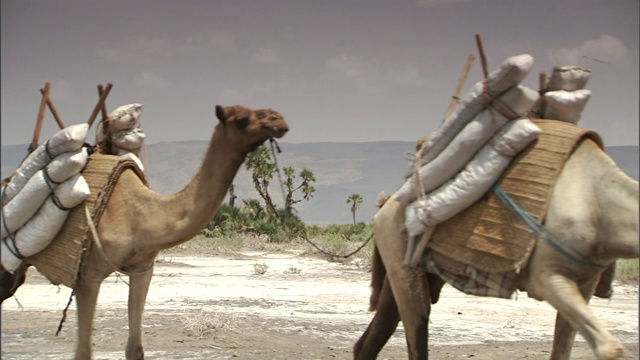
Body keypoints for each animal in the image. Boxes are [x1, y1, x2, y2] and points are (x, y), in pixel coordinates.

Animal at [0, 102, 288, 358]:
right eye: (241, 119)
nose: (279, 119)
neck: (142, 215)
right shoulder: (87, 276)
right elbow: (83, 352)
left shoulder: (143, 269)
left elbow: (135, 349)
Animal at [356, 139, 640, 360]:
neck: (599, 205)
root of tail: (385, 206)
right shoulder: (547, 275)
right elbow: (609, 348)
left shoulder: (585, 281)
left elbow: (563, 348)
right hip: (401, 254)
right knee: (416, 320)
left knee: (376, 332)